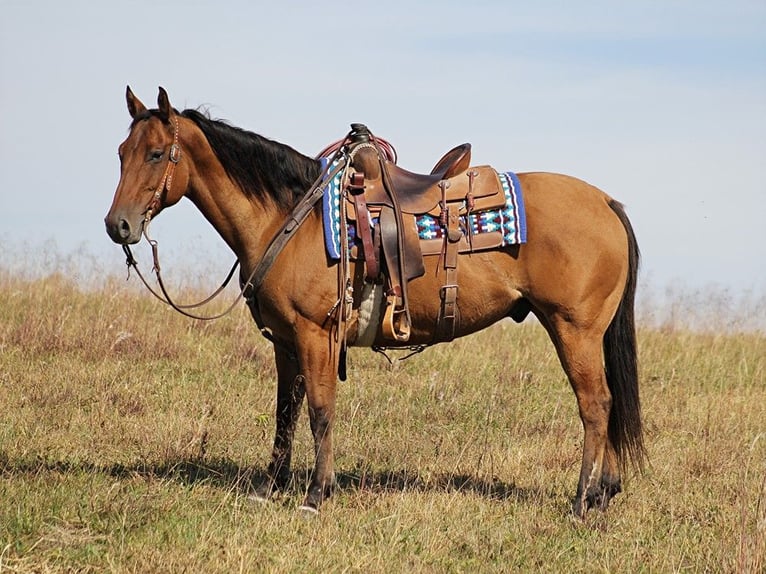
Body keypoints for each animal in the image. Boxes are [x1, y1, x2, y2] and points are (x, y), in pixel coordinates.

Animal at [106, 86, 648, 520]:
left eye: (156, 154)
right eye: (121, 152)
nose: (118, 225)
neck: (289, 216)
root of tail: (606, 203)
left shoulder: (315, 335)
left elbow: (320, 410)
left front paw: (316, 495)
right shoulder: (285, 342)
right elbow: (285, 412)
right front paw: (271, 487)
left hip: (573, 328)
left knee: (596, 405)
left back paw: (581, 501)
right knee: (609, 402)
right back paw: (604, 492)